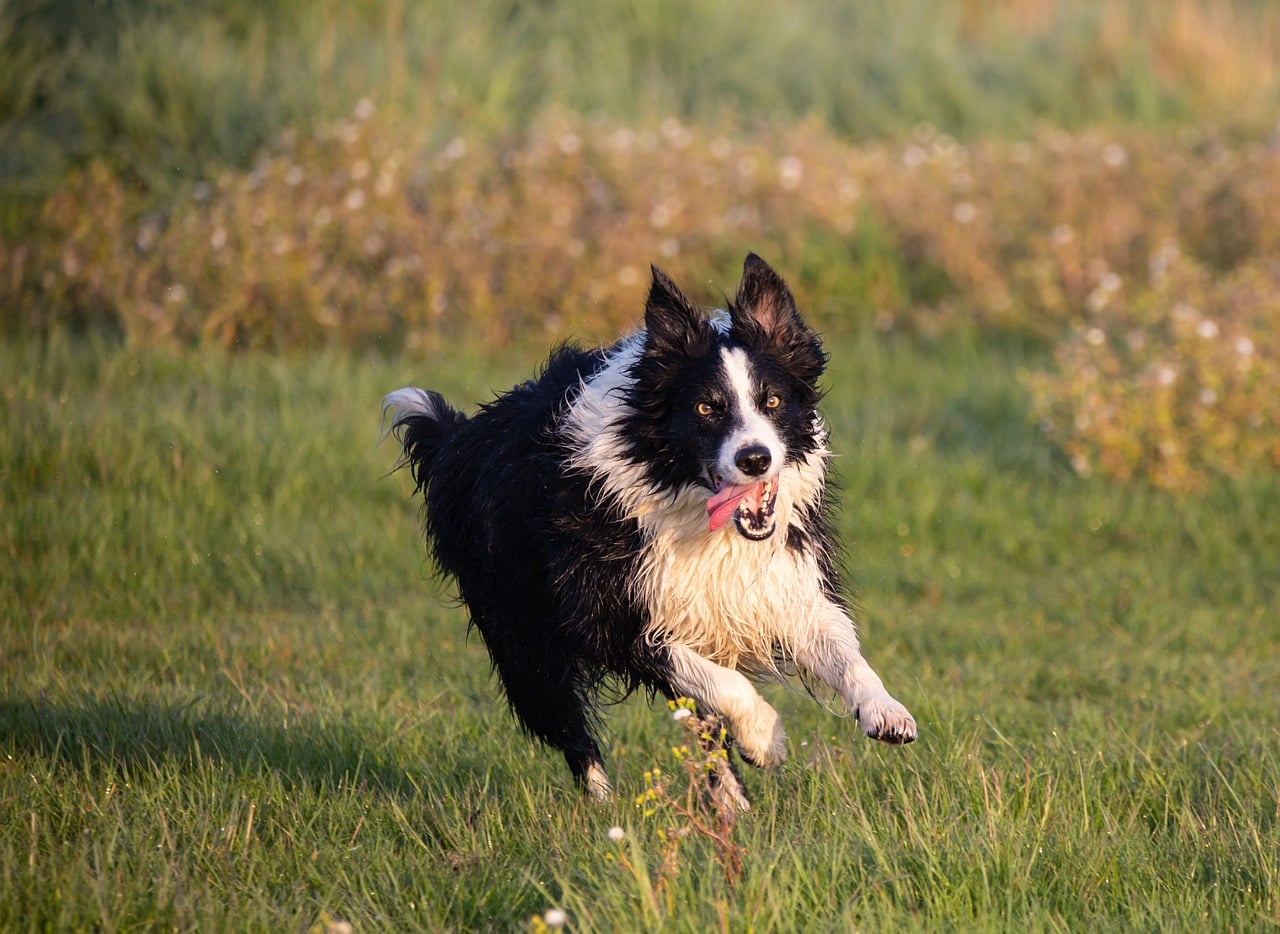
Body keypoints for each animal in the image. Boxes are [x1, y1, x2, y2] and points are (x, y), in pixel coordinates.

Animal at [384, 254, 916, 798]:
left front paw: (885, 711)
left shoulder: (781, 580)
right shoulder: (612, 613)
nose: (754, 459)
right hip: (520, 636)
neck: (691, 507)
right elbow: (723, 683)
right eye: (705, 408)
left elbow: (841, 649)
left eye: (772, 401)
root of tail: (456, 439)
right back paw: (606, 805)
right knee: (571, 730)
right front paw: (765, 739)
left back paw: (730, 804)